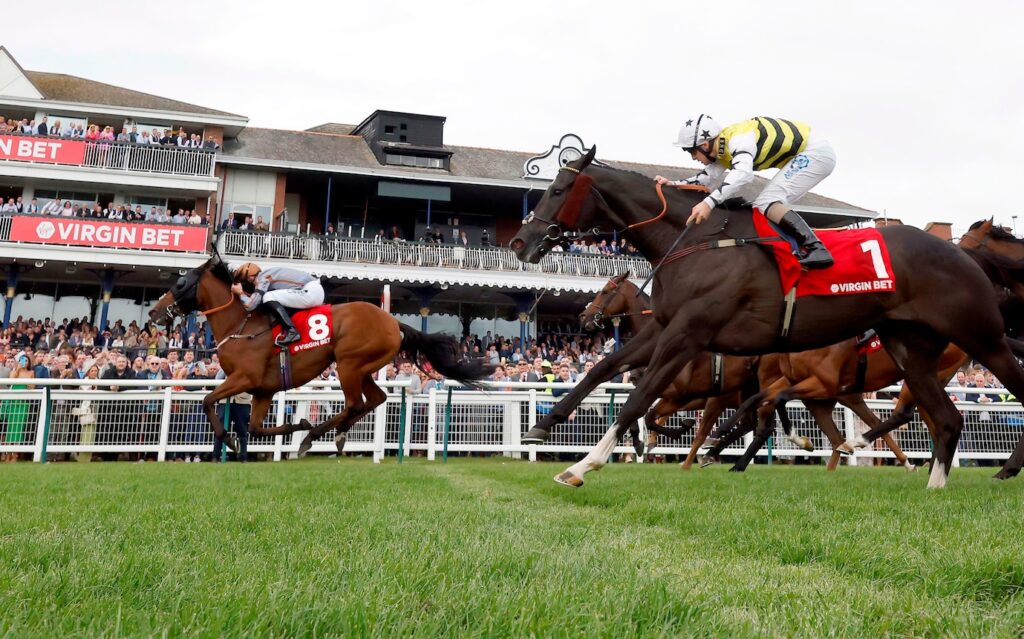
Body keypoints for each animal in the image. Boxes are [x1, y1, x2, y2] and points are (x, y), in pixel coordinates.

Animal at [149, 252, 489, 454]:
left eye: (180, 282)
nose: (153, 311)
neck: (241, 324)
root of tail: (394, 322)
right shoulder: (263, 390)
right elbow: (255, 427)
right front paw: (295, 426)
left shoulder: (245, 378)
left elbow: (208, 400)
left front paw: (227, 437)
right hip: (362, 367)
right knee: (374, 399)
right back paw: (334, 434)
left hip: (348, 363)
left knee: (354, 404)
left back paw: (315, 437)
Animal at [512, 148, 1024, 489]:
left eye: (558, 190)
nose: (520, 242)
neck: (697, 240)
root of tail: (962, 254)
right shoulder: (665, 326)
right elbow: (602, 369)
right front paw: (544, 425)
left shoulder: (688, 334)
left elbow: (640, 397)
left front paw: (583, 464)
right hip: (909, 349)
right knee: (946, 417)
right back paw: (931, 484)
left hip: (981, 337)